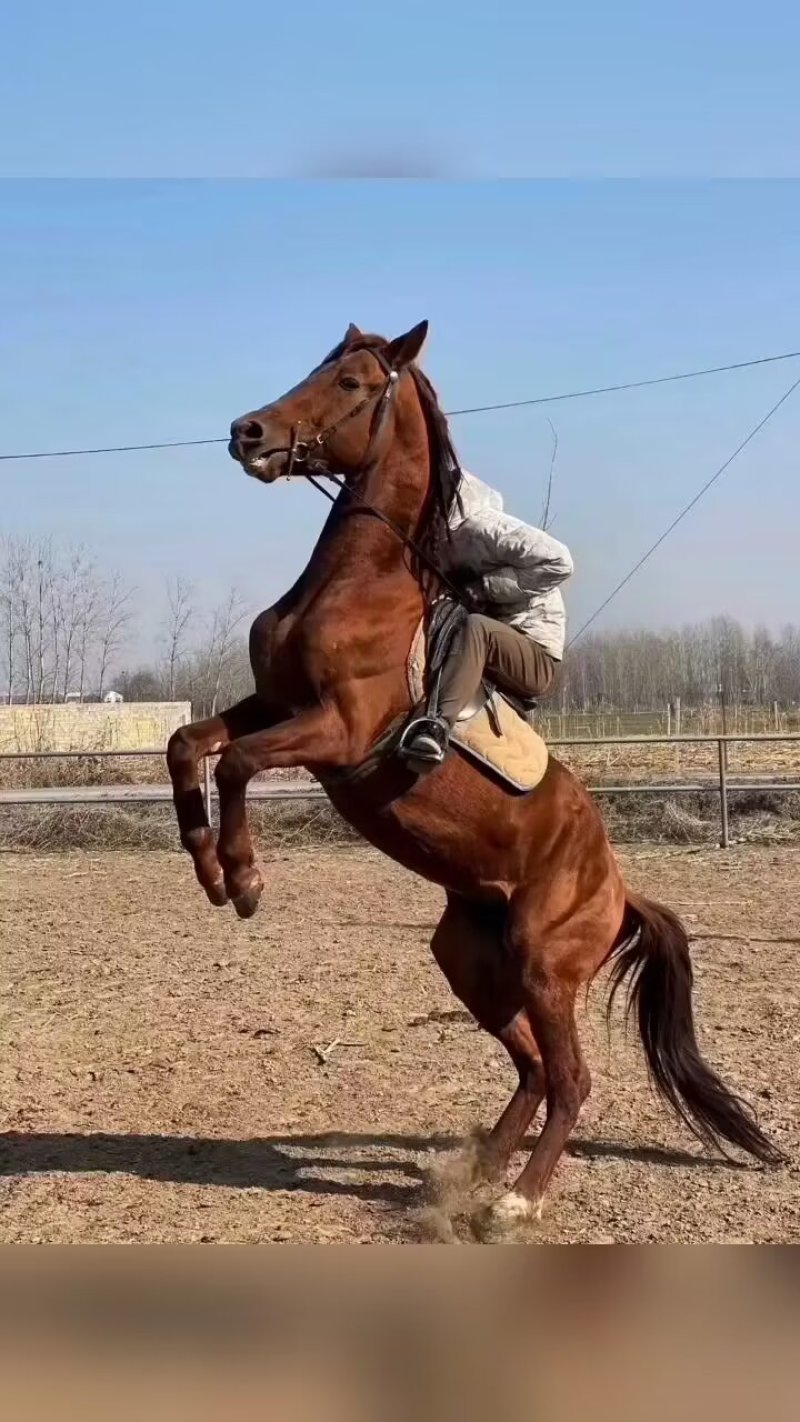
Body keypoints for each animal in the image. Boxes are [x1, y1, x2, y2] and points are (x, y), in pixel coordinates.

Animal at [166, 320, 782, 1236]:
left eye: (352, 383)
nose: (249, 433)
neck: (361, 578)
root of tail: (618, 889)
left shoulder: (336, 730)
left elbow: (236, 761)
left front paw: (243, 880)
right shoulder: (271, 703)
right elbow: (187, 743)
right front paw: (208, 866)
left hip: (544, 964)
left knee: (570, 1078)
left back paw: (516, 1201)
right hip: (468, 958)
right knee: (531, 1069)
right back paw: (480, 1168)